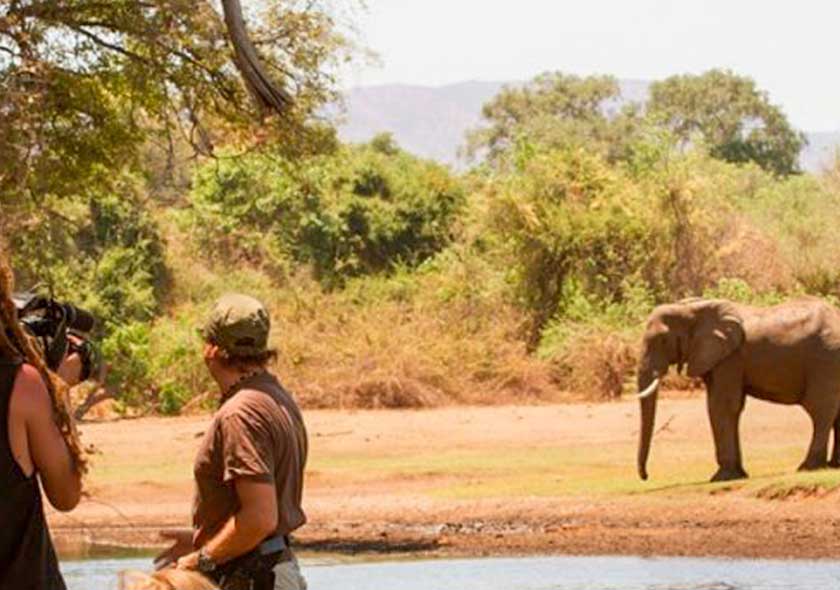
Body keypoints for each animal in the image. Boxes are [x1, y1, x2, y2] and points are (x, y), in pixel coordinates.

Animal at [636, 297, 840, 482]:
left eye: (663, 340)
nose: (646, 476)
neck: (691, 308)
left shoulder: (730, 359)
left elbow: (721, 406)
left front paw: (722, 478)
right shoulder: (717, 358)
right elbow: (727, 407)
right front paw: (738, 474)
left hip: (826, 359)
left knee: (820, 411)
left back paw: (808, 467)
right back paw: (833, 465)